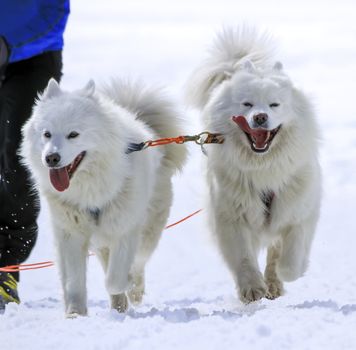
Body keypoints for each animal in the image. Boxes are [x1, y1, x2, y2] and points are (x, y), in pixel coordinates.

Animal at [20, 78, 186, 316]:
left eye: (73, 134)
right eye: (47, 134)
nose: (51, 158)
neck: (90, 190)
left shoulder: (124, 229)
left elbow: (114, 280)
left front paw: (126, 283)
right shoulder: (71, 232)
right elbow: (73, 281)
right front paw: (75, 313)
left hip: (147, 229)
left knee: (138, 263)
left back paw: (133, 292)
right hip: (102, 240)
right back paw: (119, 305)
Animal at [188, 27, 322, 302]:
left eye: (274, 104)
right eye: (247, 104)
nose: (260, 117)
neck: (263, 167)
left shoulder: (299, 210)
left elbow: (292, 255)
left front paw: (286, 273)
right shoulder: (231, 215)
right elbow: (243, 258)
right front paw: (251, 289)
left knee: (276, 249)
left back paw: (275, 282)